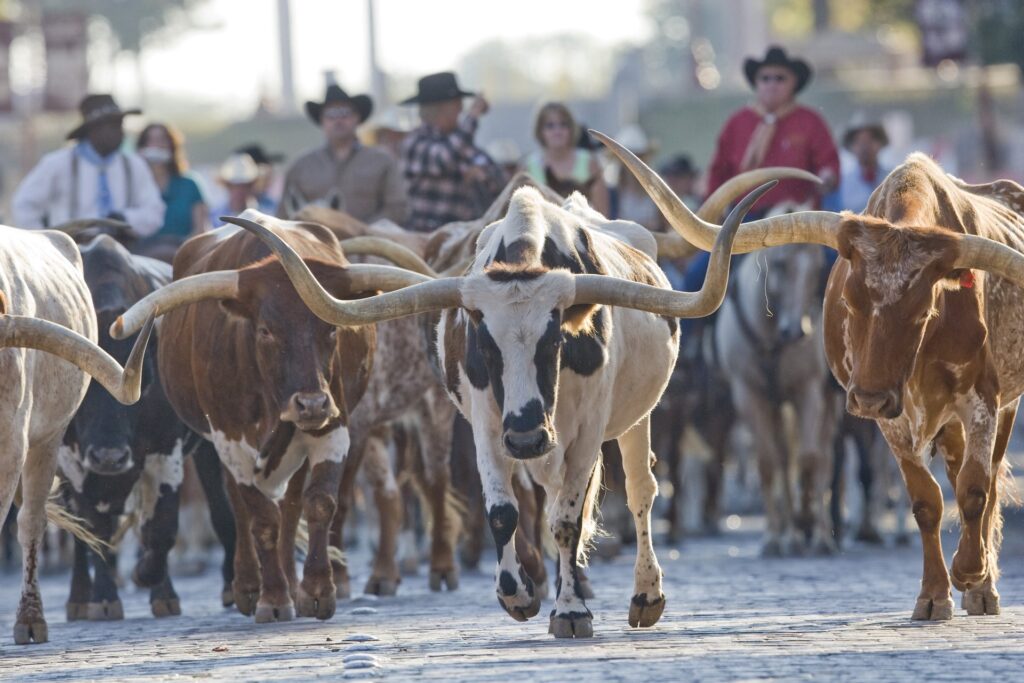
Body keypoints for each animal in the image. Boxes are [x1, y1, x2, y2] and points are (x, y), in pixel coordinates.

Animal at [58, 235, 235, 622]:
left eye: (145, 374)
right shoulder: (71, 459)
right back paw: (78, 597)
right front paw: (103, 597)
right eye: (80, 383)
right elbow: (92, 527)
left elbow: (162, 527)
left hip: (205, 446)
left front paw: (152, 582)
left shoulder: (164, 448)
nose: (109, 456)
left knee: (217, 506)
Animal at [233, 178, 774, 637]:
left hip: (634, 420)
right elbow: (502, 511)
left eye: (555, 339)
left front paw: (571, 611)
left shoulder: (585, 431)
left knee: (639, 492)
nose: (528, 436)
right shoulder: (488, 426)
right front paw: (519, 596)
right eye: (483, 341)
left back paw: (645, 595)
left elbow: (568, 520)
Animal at [599, 132, 1024, 622]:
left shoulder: (981, 400)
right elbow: (926, 500)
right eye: (849, 300)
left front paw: (971, 573)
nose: (868, 400)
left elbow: (975, 488)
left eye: (924, 310)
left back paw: (982, 588)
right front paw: (933, 595)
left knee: (985, 480)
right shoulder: (889, 419)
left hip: (999, 406)